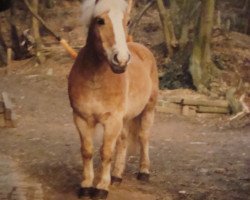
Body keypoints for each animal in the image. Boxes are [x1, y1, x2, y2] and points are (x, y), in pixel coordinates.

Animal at [68, 0, 158, 198]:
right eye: (100, 20)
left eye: (128, 21)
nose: (121, 60)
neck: (95, 80)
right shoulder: (81, 118)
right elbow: (87, 151)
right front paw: (86, 186)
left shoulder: (112, 120)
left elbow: (106, 152)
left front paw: (101, 187)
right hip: (124, 119)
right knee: (123, 141)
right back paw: (117, 176)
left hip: (148, 110)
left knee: (144, 137)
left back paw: (144, 172)